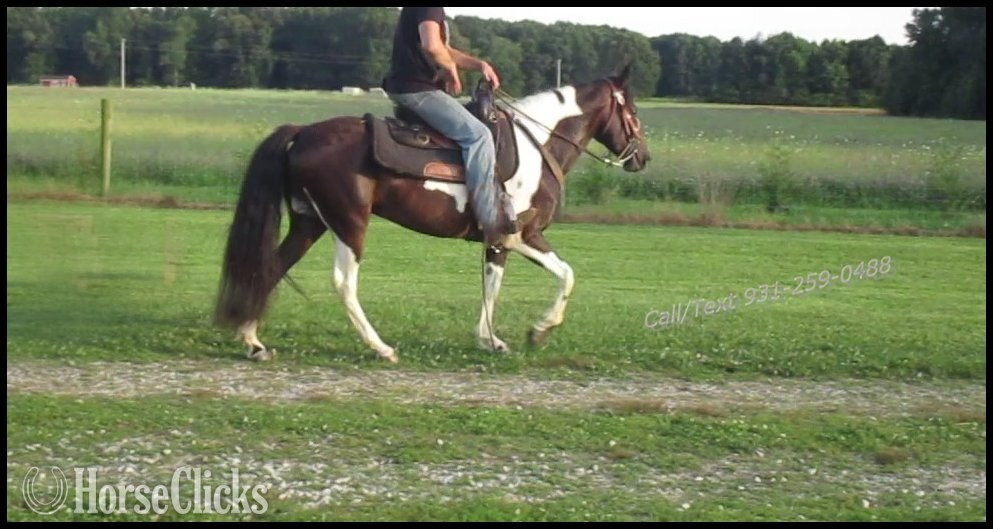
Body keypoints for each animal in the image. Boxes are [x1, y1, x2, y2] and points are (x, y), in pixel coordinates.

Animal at [214, 64, 650, 363]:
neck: (538, 144)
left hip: (310, 222)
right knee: (343, 283)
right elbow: (566, 275)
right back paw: (381, 347)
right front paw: (539, 331)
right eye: (633, 110)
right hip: (349, 223)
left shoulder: (499, 240)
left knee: (273, 265)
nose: (642, 158)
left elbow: (494, 284)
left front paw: (490, 339)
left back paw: (253, 341)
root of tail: (302, 132)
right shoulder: (522, 234)